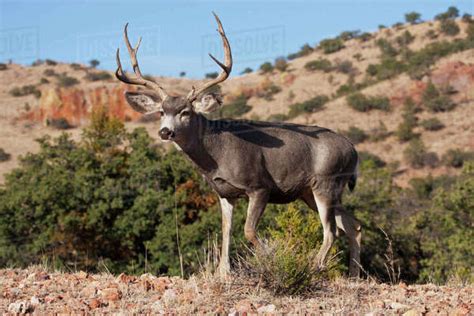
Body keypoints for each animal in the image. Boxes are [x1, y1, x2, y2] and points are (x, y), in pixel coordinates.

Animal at [116, 13, 362, 278]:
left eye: (185, 112)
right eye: (162, 112)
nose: (165, 131)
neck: (216, 156)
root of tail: (353, 149)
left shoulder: (259, 186)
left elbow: (248, 230)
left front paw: (270, 258)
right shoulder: (224, 193)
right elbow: (226, 231)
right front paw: (222, 271)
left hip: (326, 182)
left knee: (331, 231)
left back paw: (314, 267)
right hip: (310, 191)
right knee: (353, 225)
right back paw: (354, 275)